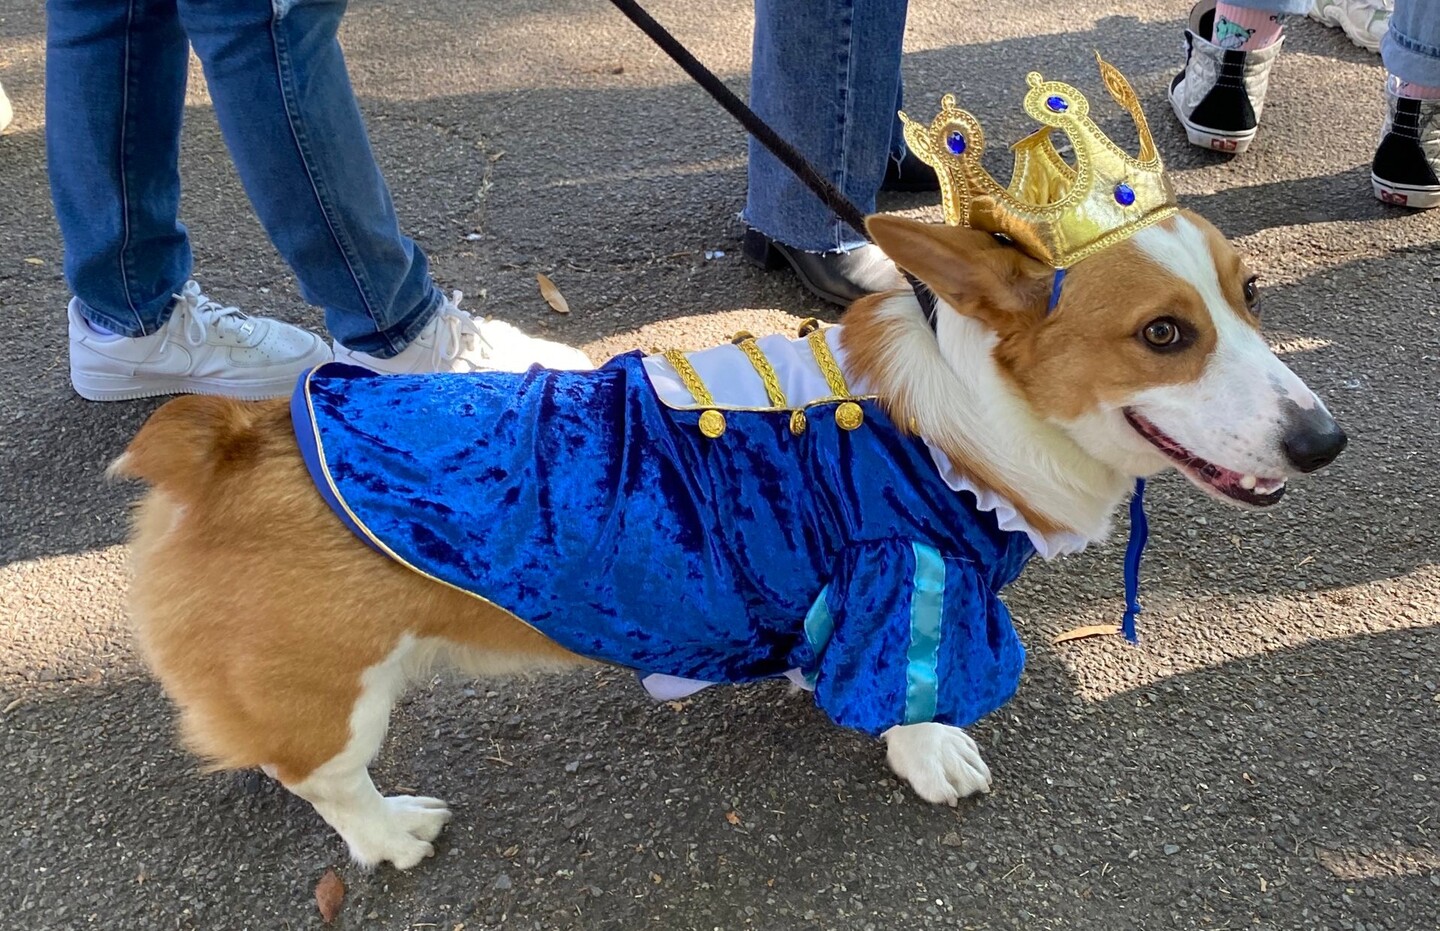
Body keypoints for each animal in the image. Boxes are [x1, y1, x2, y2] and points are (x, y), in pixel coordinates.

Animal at [112, 212, 1347, 874]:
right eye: (1164, 335)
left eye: (1251, 294)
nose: (1326, 441)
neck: (971, 417)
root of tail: (219, 441)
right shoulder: (906, 575)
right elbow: (911, 697)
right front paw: (932, 754)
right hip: (340, 686)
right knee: (322, 773)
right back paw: (391, 832)